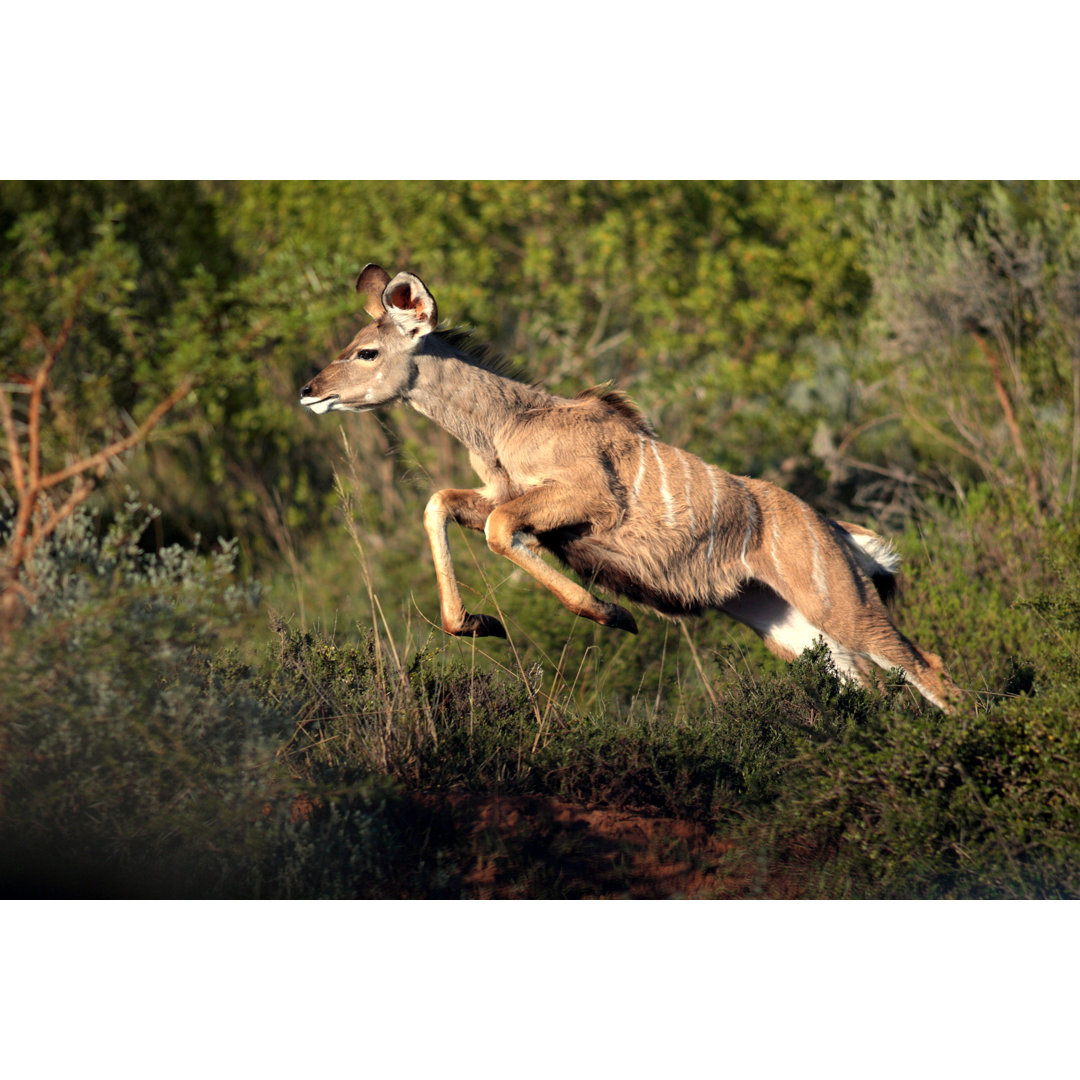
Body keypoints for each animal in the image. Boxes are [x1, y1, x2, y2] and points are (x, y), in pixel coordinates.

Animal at [300, 264, 959, 712]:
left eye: (367, 351)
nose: (310, 391)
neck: (510, 424)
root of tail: (837, 533)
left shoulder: (588, 500)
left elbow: (498, 529)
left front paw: (610, 613)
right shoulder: (500, 497)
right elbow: (442, 505)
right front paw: (477, 623)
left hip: (840, 604)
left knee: (928, 667)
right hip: (789, 626)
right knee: (871, 685)